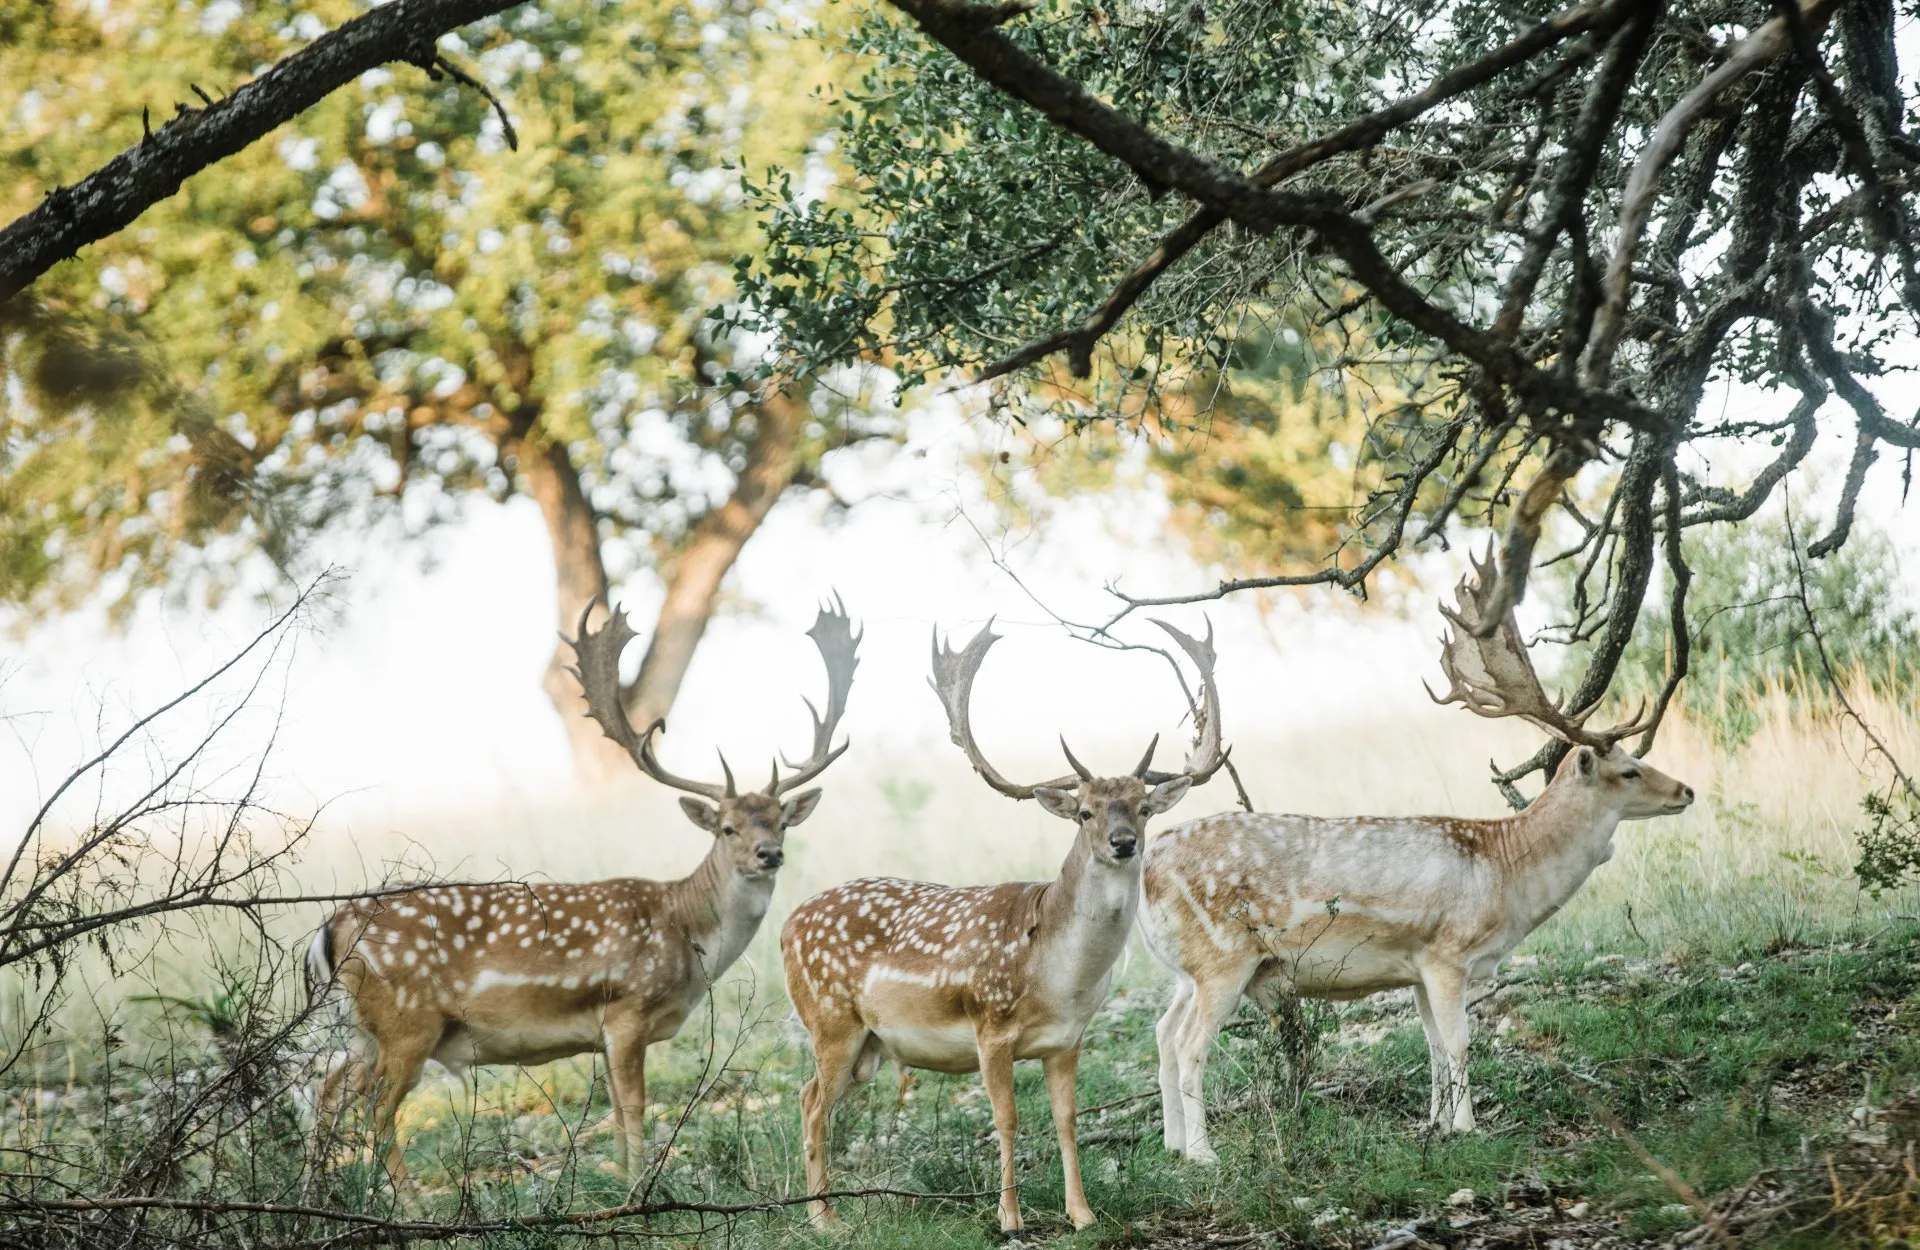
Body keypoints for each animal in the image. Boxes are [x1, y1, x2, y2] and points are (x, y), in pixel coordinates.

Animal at [306, 597, 860, 1183]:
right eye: (727, 828)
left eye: (780, 822)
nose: (769, 854)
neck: (686, 935)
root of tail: (328, 928)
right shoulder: (627, 1009)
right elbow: (634, 1107)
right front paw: (637, 1187)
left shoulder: (603, 1034)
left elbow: (615, 1111)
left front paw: (617, 1178)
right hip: (407, 1021)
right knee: (378, 1108)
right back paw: (405, 1200)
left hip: (359, 1030)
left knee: (328, 1090)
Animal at [781, 620, 1229, 1233]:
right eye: (1085, 812)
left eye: (1143, 807)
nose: (1123, 842)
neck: (1058, 978)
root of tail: (785, 926)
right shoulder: (989, 1027)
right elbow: (1008, 1119)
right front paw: (1010, 1219)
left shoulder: (1068, 1039)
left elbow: (1066, 1120)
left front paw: (1082, 1214)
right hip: (830, 1020)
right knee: (809, 1104)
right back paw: (826, 1219)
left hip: (868, 1048)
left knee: (809, 1097)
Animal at [1140, 547, 1695, 1163]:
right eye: (1631, 770)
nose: (1686, 790)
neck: (1505, 872)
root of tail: (1146, 864)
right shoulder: (1448, 952)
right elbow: (1458, 1041)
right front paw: (1469, 1127)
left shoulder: (1417, 968)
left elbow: (1431, 1043)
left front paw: (1436, 1122)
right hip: (1223, 958)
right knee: (1189, 1044)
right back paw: (1203, 1153)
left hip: (1185, 969)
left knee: (1161, 1035)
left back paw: (1171, 1145)